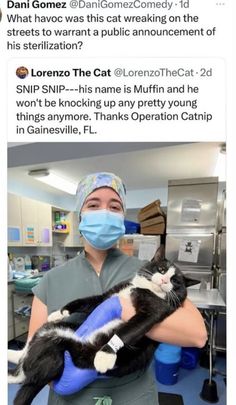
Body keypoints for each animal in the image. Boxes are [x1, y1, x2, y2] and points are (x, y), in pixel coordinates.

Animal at [8, 246, 198, 404]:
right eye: (161, 269)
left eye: (176, 282)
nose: (165, 281)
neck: (143, 288)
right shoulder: (108, 296)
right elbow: (87, 301)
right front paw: (60, 312)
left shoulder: (155, 310)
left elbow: (128, 330)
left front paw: (105, 355)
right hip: (52, 331)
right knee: (25, 357)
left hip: (56, 354)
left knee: (24, 374)